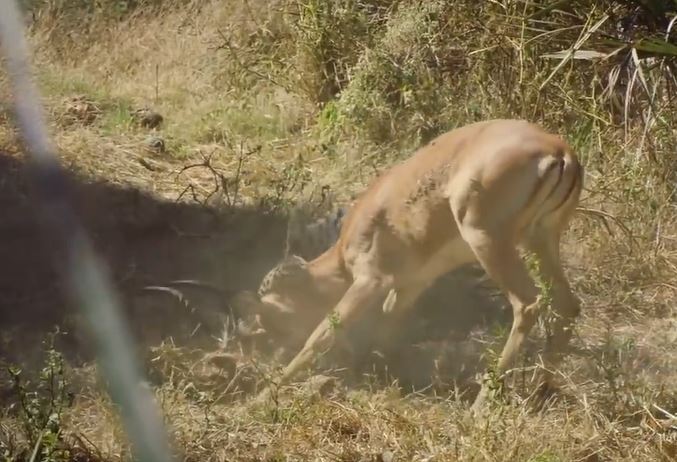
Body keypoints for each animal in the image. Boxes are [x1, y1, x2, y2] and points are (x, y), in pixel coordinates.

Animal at [252, 119, 583, 411]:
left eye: (273, 312)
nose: (273, 352)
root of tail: (559, 150)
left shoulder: (371, 279)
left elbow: (322, 332)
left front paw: (263, 396)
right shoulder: (413, 283)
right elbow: (388, 321)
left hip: (488, 241)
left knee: (528, 304)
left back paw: (482, 404)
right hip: (541, 241)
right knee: (567, 305)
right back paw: (541, 391)